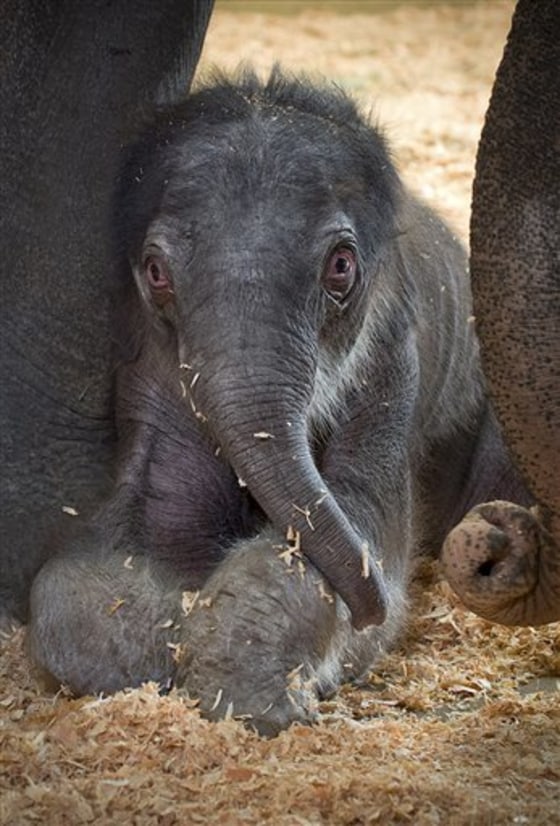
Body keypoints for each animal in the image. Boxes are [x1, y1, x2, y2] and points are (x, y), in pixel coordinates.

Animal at [25, 66, 529, 735]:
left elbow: (359, 518)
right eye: (156, 272)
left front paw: (256, 693)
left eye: (341, 266)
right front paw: (167, 651)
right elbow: (104, 554)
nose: (372, 607)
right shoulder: (148, 367)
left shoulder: (393, 361)